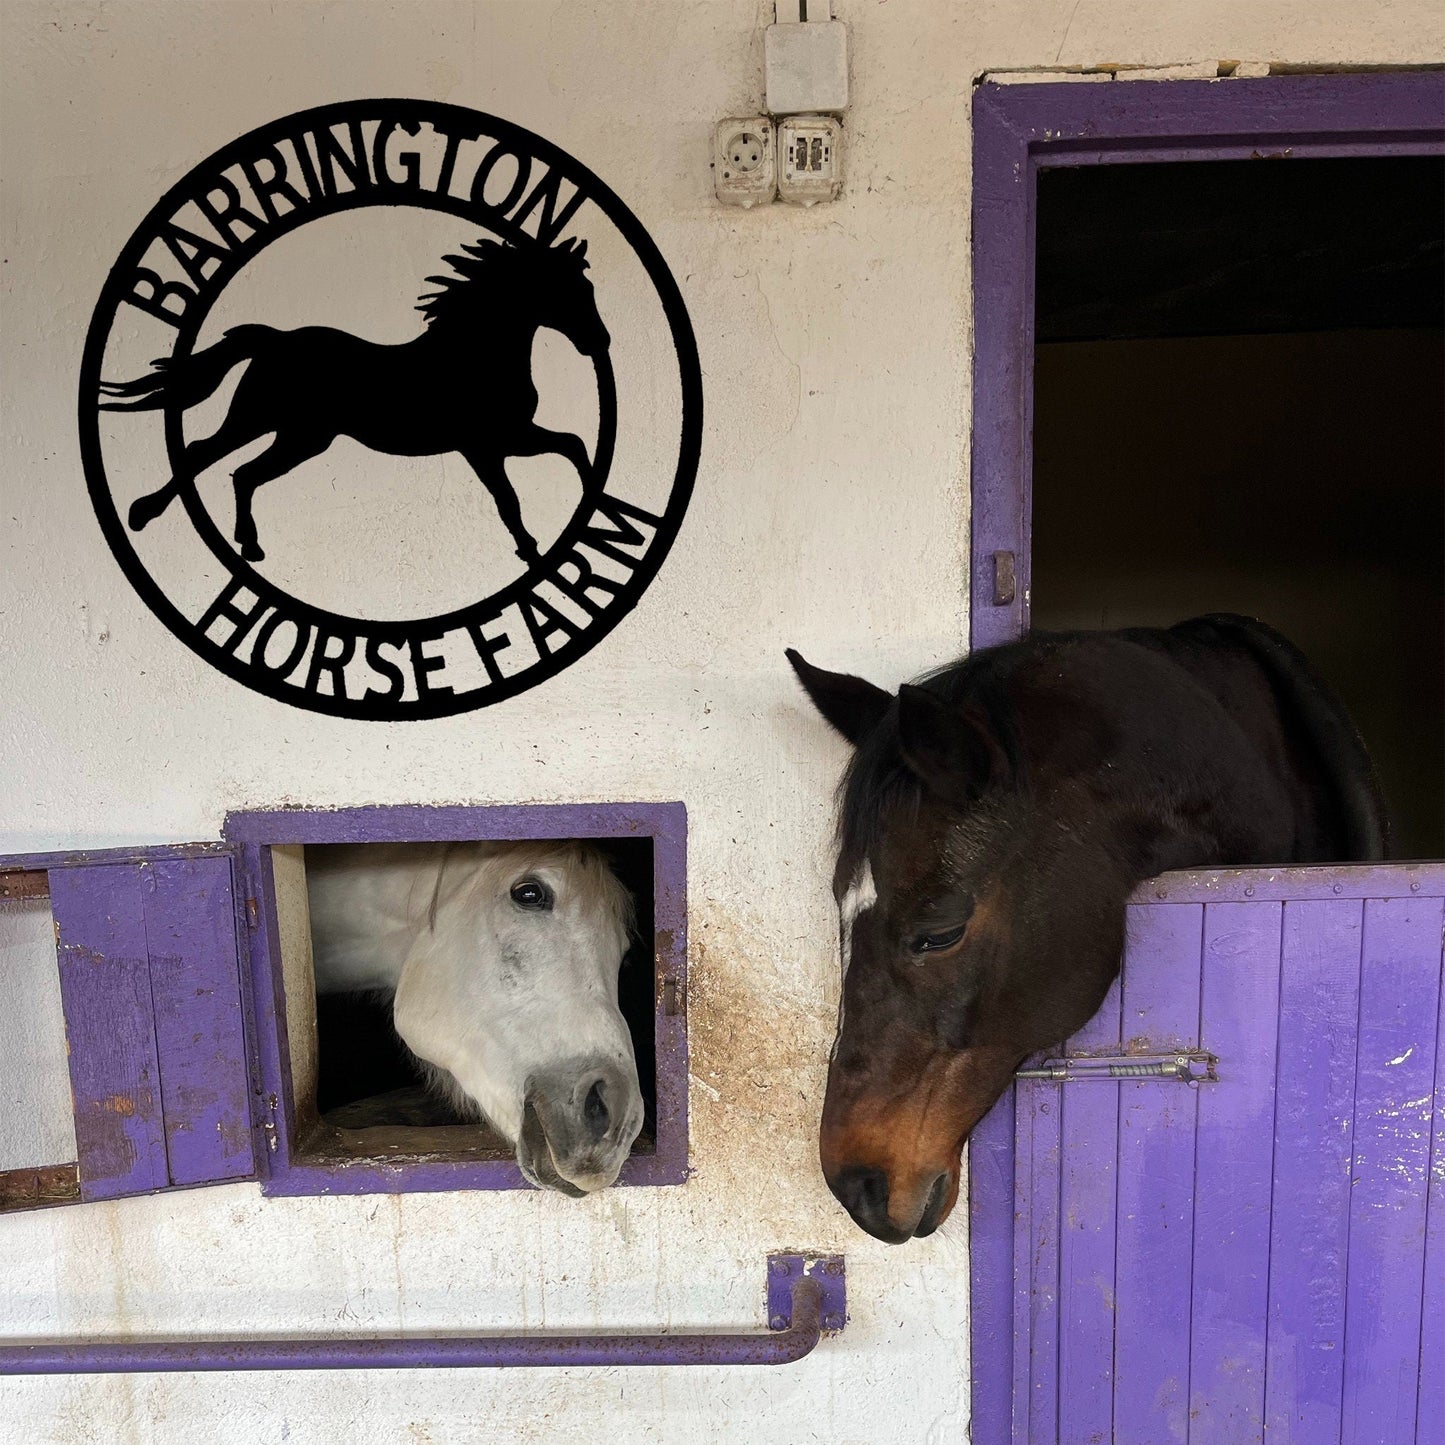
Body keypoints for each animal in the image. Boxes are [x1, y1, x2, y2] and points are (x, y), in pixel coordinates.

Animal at [99, 236, 607, 564]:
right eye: (570, 291)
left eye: (588, 288)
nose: (599, 343)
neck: (475, 354)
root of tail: (275, 339)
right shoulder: (484, 446)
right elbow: (510, 498)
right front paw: (530, 549)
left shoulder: (510, 437)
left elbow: (573, 444)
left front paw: (590, 504)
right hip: (259, 419)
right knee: (204, 452)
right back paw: (146, 514)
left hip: (300, 437)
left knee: (241, 472)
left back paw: (248, 545)